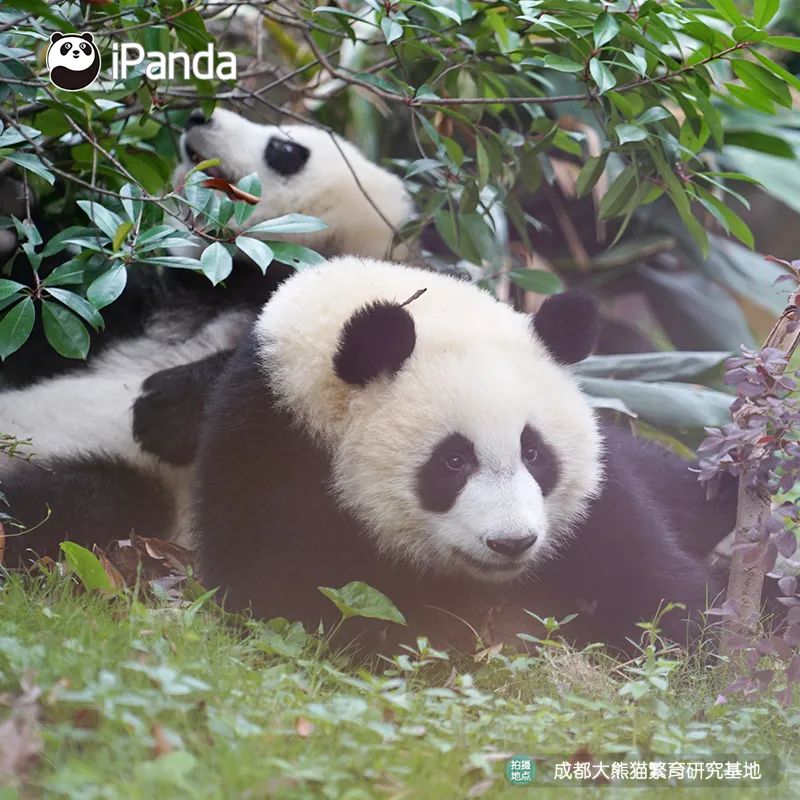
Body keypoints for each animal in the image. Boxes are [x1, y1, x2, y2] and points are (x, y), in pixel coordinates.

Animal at [0, 112, 412, 564]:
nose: (200, 115)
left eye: (285, 149)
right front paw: (10, 205)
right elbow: (50, 330)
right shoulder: (149, 301)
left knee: (73, 500)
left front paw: (167, 408)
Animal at [183, 260, 736, 652]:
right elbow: (289, 593)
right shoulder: (270, 448)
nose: (512, 543)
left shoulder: (600, 506)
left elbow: (656, 586)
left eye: (534, 452)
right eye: (453, 461)